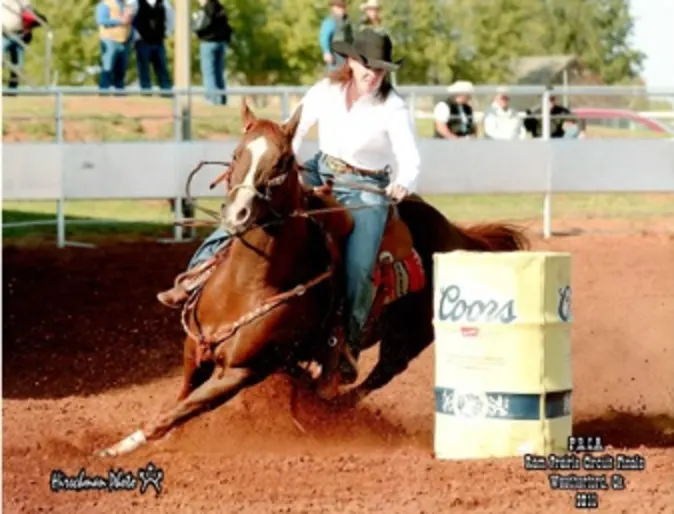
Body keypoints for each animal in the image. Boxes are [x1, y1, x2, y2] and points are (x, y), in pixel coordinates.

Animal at [94, 98, 528, 454]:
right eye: (236, 153)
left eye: (283, 161)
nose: (237, 214)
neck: (247, 285)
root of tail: (457, 234)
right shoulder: (194, 349)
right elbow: (179, 403)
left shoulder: (242, 371)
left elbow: (176, 412)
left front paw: (114, 450)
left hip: (407, 341)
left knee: (368, 382)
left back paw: (327, 409)